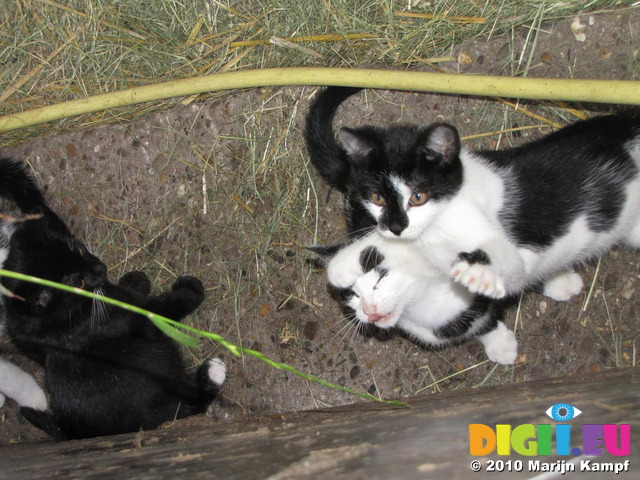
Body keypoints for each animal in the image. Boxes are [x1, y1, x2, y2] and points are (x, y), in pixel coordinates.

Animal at [0, 159, 226, 440]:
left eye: (80, 249)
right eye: (78, 283)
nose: (101, 268)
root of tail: (73, 432)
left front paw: (136, 280)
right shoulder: (129, 318)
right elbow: (158, 309)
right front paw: (191, 290)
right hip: (155, 368)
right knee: (188, 404)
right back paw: (213, 373)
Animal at [304, 87, 640, 300]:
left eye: (418, 197)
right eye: (378, 198)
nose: (397, 226)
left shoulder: (510, 251)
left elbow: (512, 266)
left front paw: (480, 274)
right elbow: (389, 248)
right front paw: (344, 264)